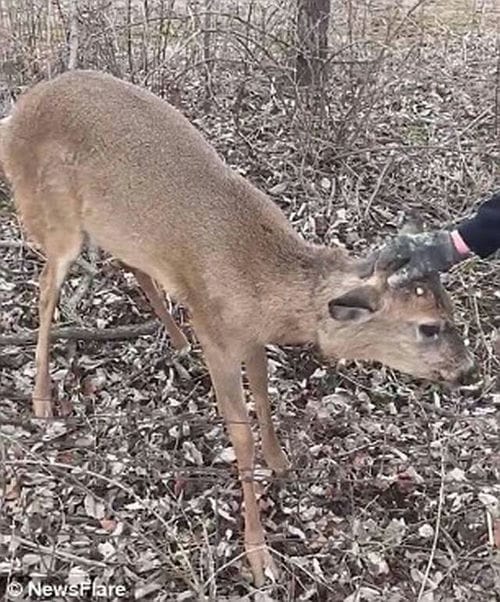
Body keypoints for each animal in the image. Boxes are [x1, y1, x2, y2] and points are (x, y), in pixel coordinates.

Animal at [0, 69, 474, 580]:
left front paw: (281, 462)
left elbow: (264, 396)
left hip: (114, 227)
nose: (468, 369)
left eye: (449, 307)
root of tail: (17, 114)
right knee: (45, 289)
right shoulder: (219, 336)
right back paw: (42, 399)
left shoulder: (250, 336)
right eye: (428, 326)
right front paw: (258, 551)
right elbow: (239, 433)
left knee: (129, 265)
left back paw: (176, 339)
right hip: (53, 217)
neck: (263, 286)